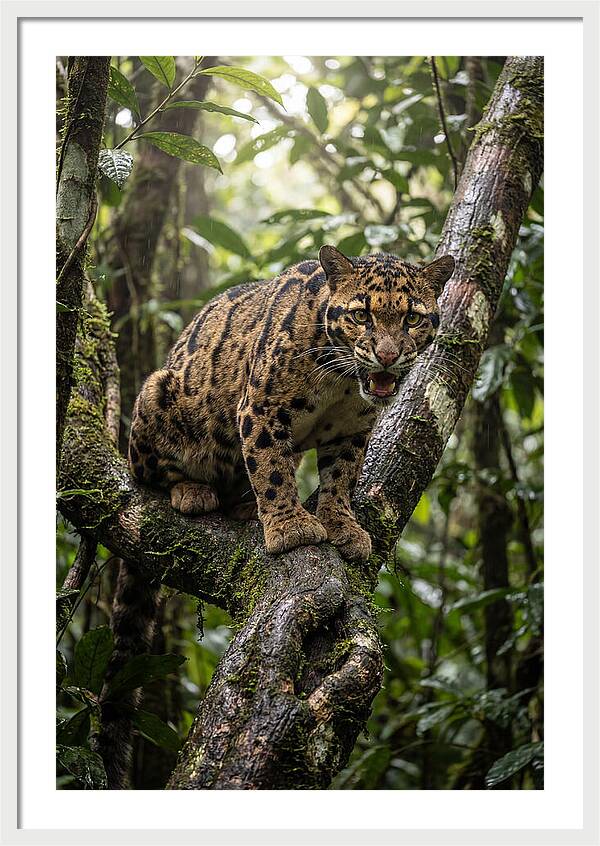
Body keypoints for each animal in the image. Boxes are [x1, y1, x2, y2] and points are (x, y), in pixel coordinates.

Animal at [128, 245, 455, 562]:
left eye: (412, 319)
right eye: (361, 316)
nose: (387, 356)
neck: (341, 381)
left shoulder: (352, 430)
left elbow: (342, 477)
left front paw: (342, 524)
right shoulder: (261, 409)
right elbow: (271, 469)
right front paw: (290, 526)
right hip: (157, 391)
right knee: (150, 474)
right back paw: (193, 490)